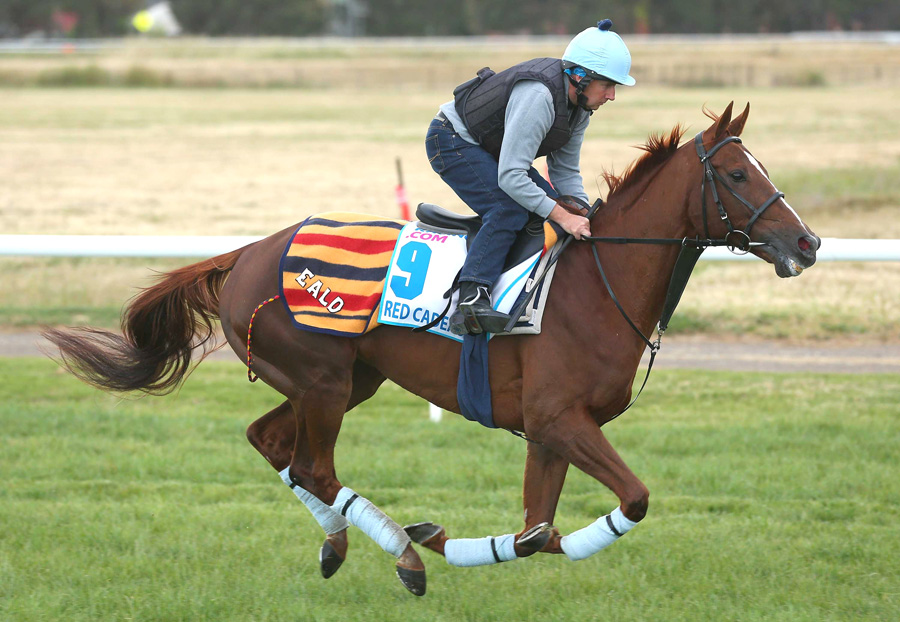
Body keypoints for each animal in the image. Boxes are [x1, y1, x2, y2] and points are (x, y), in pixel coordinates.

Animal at [47, 103, 824, 600]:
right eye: (737, 175)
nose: (808, 241)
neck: (594, 283)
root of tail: (247, 253)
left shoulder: (549, 431)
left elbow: (537, 530)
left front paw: (451, 538)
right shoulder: (560, 420)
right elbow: (628, 500)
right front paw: (430, 541)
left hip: (341, 380)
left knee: (272, 445)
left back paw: (340, 545)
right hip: (322, 382)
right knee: (313, 466)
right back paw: (402, 556)